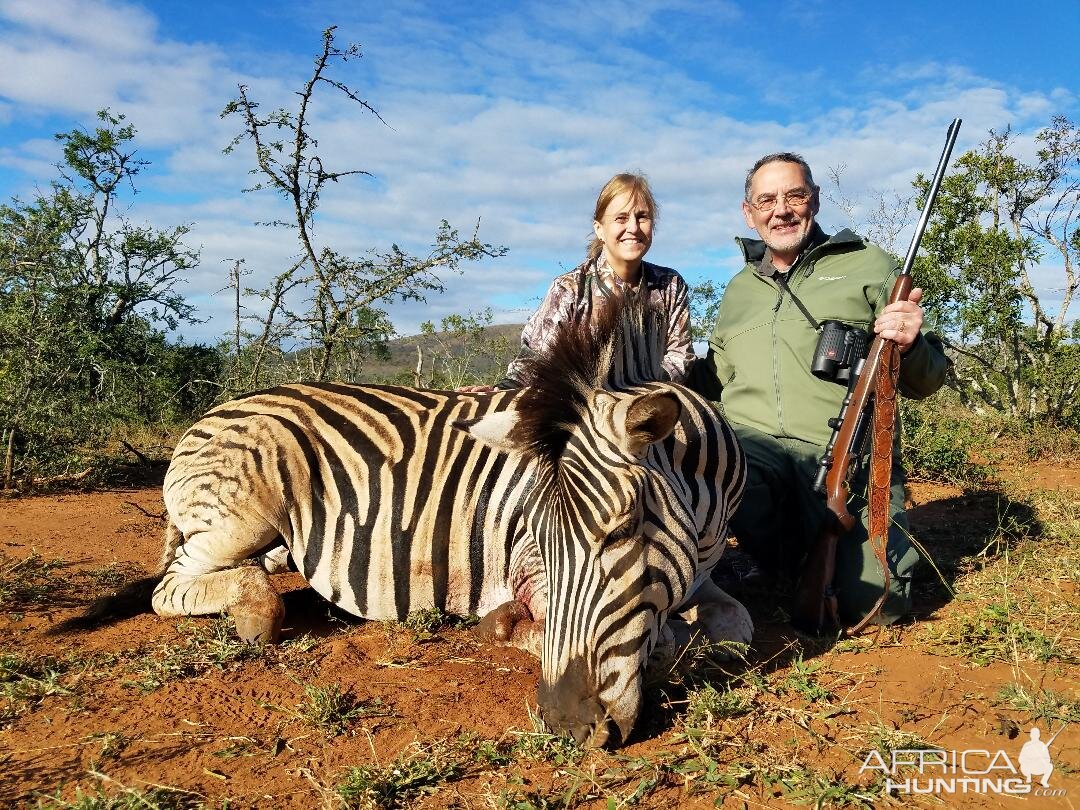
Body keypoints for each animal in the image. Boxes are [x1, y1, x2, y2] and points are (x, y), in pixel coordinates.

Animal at [152, 298, 747, 747]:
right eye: (536, 536)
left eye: (623, 531)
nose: (568, 726)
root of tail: (219, 410)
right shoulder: (529, 573)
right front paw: (510, 624)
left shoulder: (700, 571)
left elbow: (733, 624)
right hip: (241, 514)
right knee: (173, 588)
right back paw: (254, 607)